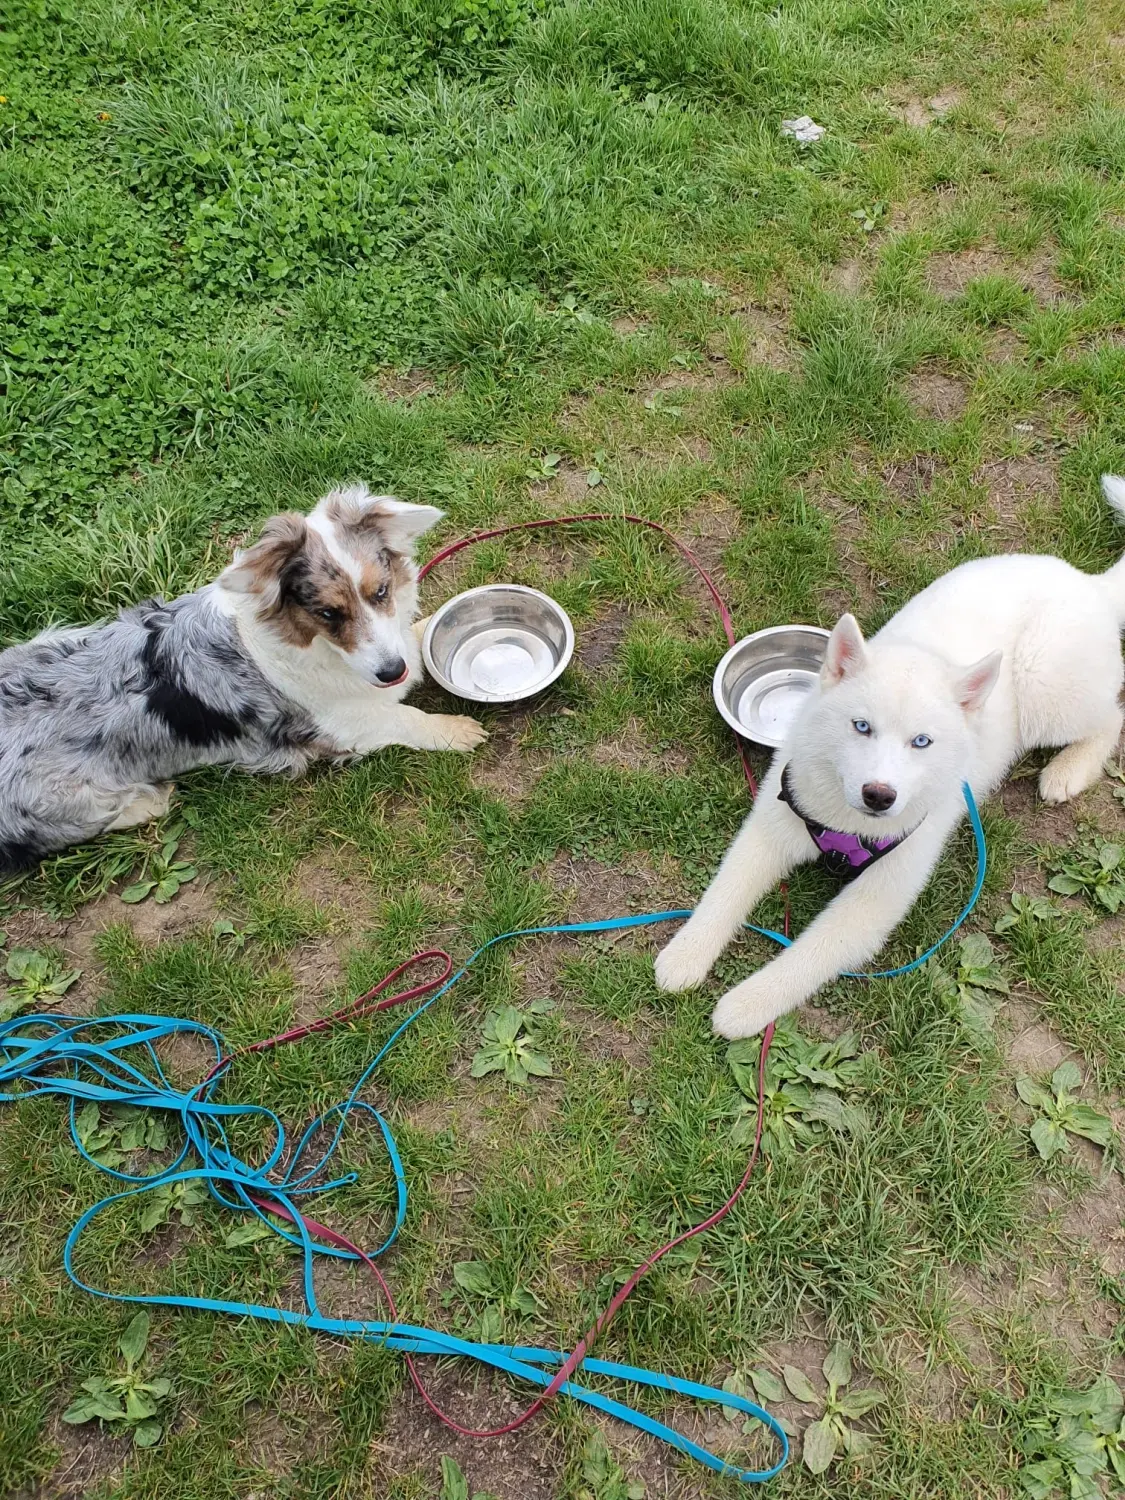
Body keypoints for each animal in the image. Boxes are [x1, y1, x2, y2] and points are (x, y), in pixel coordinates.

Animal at [657, 474, 1125, 1038]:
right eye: (861, 727)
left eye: (921, 742)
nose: (879, 796)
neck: (844, 823)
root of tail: (1092, 584)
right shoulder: (772, 823)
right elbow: (724, 890)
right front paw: (685, 955)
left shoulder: (878, 894)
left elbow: (808, 954)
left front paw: (744, 1005)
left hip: (1046, 689)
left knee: (1113, 713)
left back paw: (1069, 770)